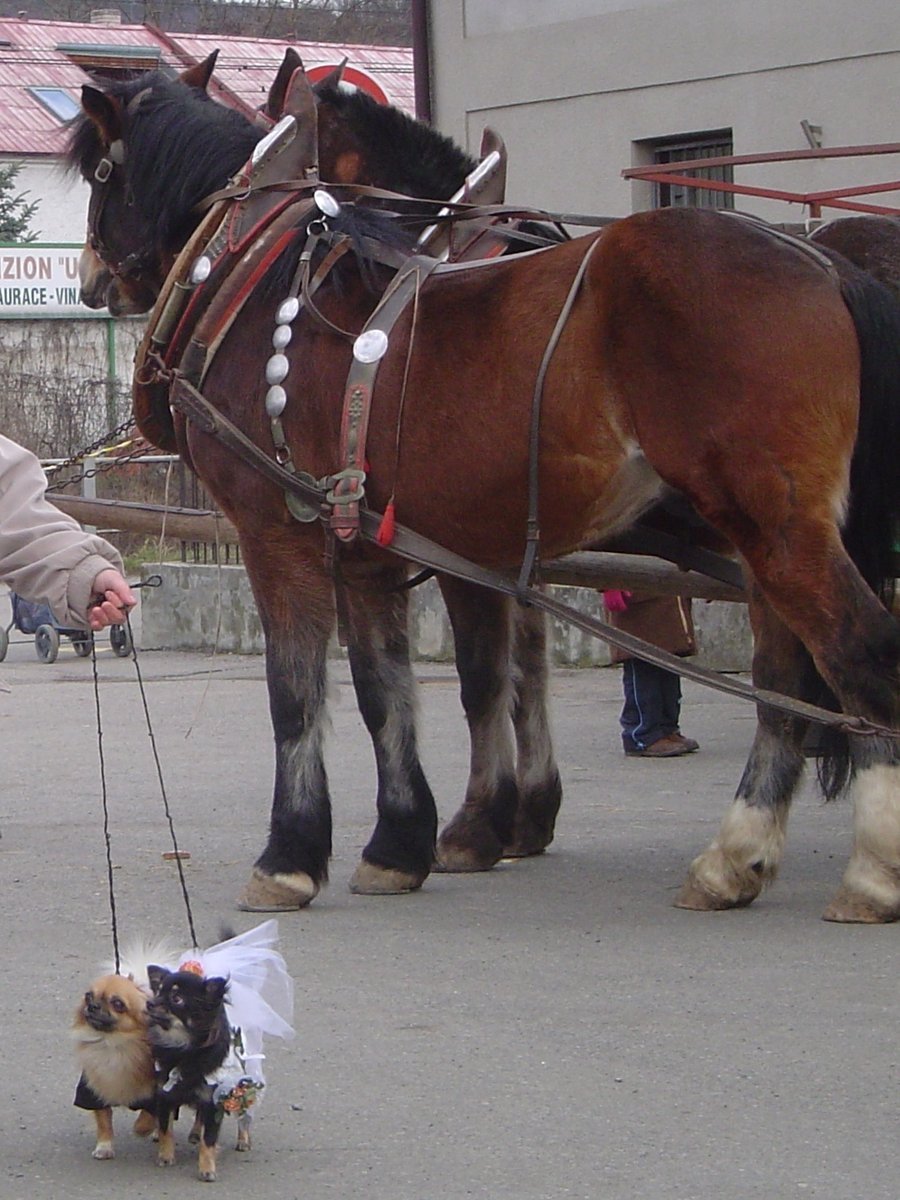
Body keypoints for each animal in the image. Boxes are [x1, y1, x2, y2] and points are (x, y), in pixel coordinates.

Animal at [68, 56, 900, 921]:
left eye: (99, 174)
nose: (91, 278)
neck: (263, 283)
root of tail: (824, 264)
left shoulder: (281, 532)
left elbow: (308, 691)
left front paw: (296, 855)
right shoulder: (377, 541)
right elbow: (397, 687)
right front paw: (409, 839)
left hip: (778, 528)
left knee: (859, 652)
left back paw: (872, 868)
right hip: (761, 528)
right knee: (784, 681)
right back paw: (734, 858)